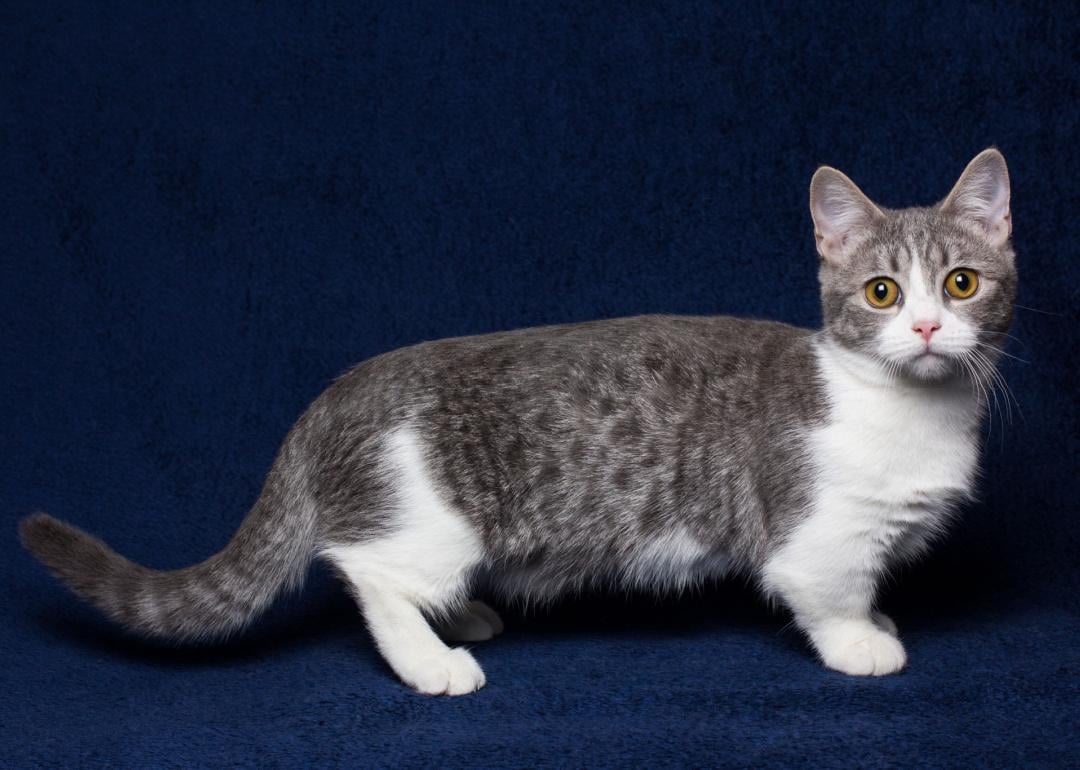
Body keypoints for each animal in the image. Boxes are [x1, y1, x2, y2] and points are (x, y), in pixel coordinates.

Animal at [19, 146, 1010, 695]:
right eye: (881, 293)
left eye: (962, 283)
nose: (927, 327)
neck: (914, 409)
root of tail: (343, 390)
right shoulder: (820, 535)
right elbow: (830, 593)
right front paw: (860, 643)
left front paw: (878, 624)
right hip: (433, 520)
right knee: (368, 573)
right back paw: (432, 662)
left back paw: (460, 618)